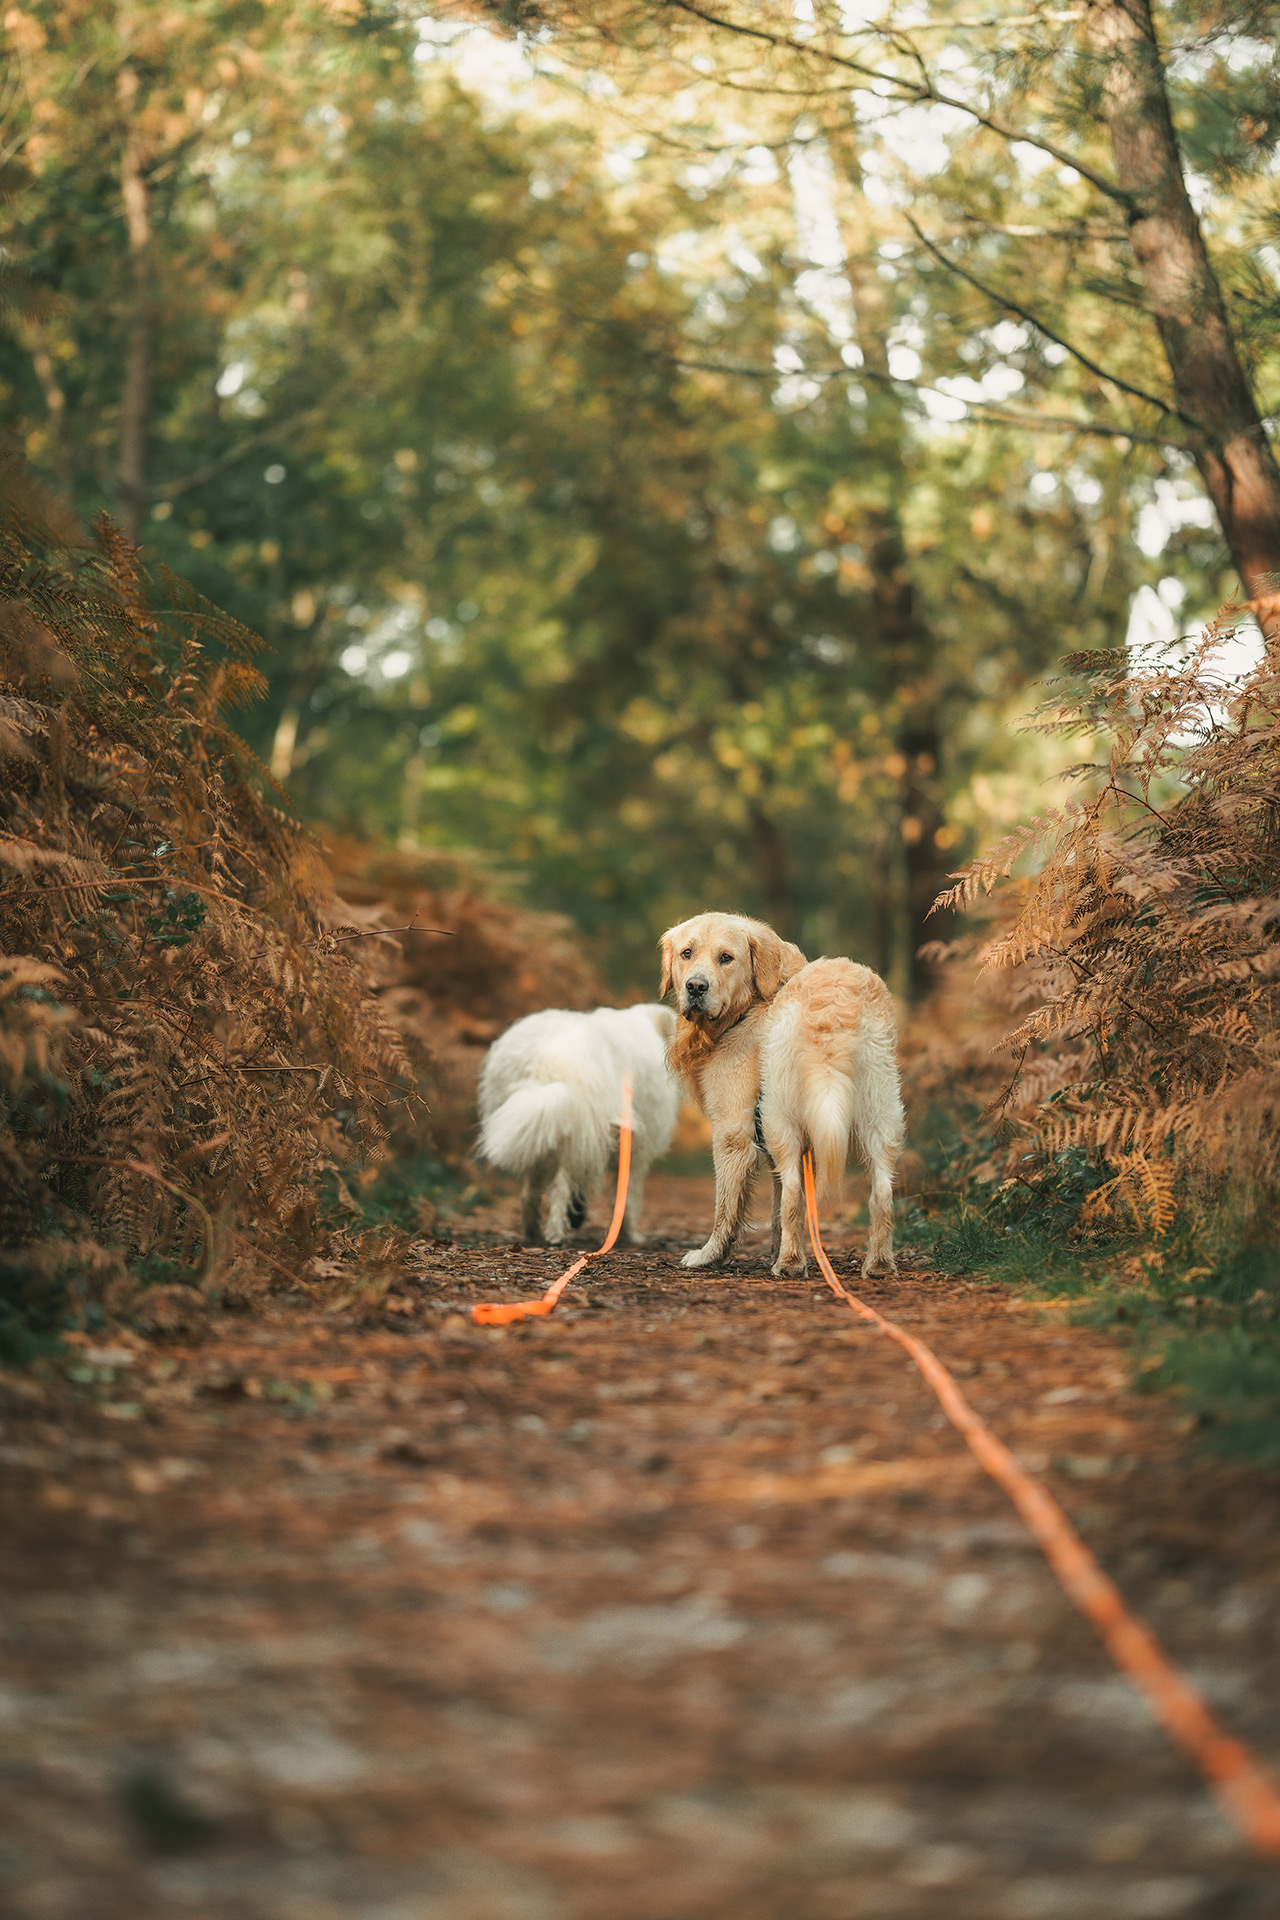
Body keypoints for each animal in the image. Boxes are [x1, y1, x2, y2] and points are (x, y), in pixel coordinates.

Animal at [477, 1006, 679, 1244]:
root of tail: (548, 1061)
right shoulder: (634, 1150)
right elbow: (627, 1196)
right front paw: (630, 1234)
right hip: (572, 1139)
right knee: (559, 1188)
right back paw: (555, 1235)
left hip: (543, 1135)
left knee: (530, 1194)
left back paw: (533, 1232)